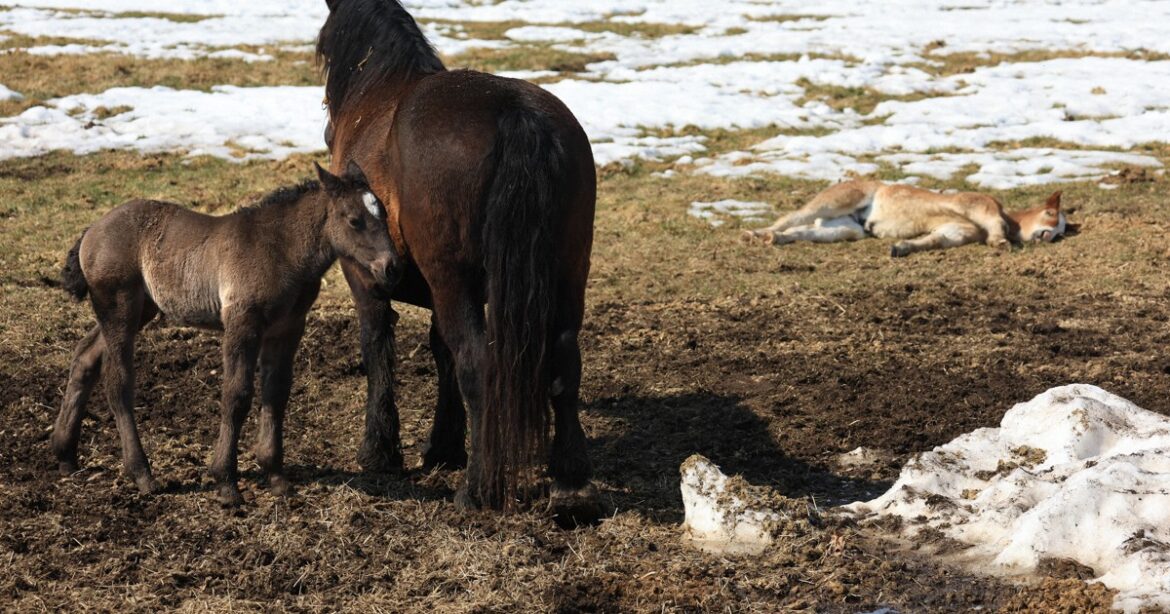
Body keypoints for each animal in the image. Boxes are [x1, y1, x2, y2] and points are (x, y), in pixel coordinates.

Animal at [52, 162, 399, 506]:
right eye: (354, 220)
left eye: (383, 212)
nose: (392, 267)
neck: (281, 249)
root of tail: (92, 230)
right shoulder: (242, 323)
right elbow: (237, 395)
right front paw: (226, 482)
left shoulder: (287, 328)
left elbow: (276, 393)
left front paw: (276, 476)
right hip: (119, 307)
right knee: (117, 380)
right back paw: (141, 474)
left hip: (141, 308)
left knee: (84, 356)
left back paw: (64, 454)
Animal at [316, 0, 598, 522]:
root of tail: (515, 113)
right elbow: (439, 350)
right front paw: (445, 446)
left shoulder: (366, 278)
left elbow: (378, 347)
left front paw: (379, 450)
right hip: (569, 273)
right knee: (564, 364)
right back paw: (572, 486)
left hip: (456, 281)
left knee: (477, 363)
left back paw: (478, 489)